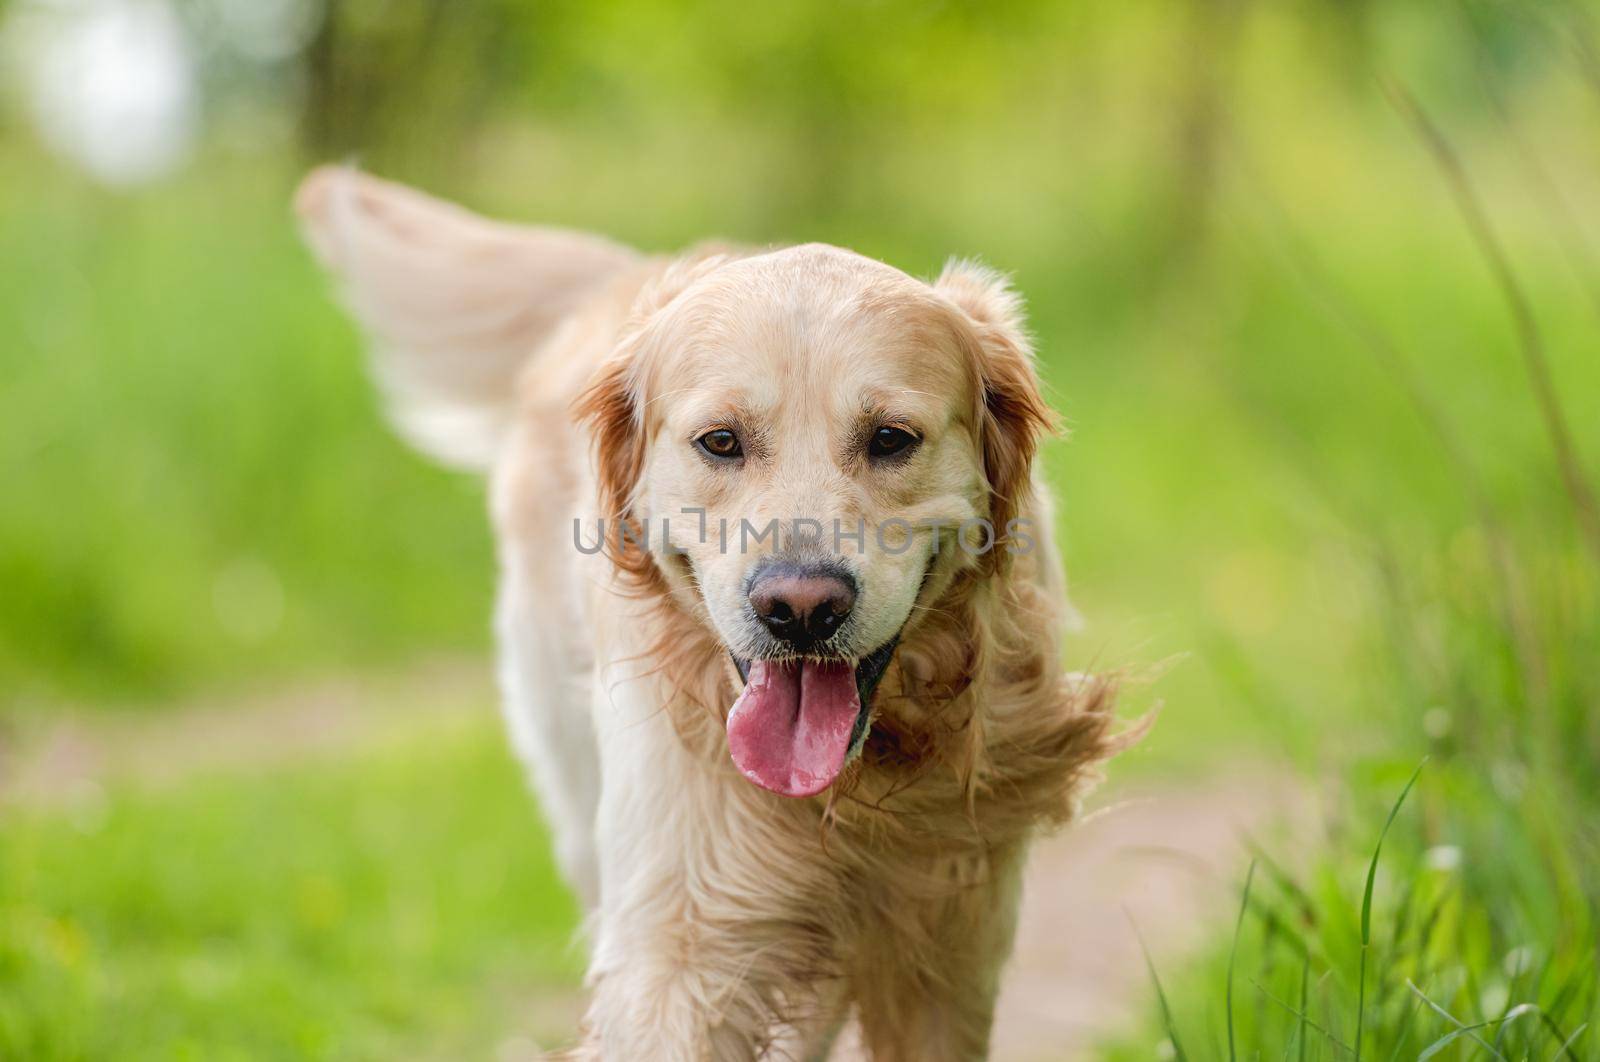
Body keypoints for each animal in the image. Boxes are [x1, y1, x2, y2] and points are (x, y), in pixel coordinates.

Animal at [297, 170, 1126, 1055]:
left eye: (891, 438)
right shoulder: (678, 942)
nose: (800, 608)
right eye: (721, 441)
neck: (858, 781)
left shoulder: (954, 939)